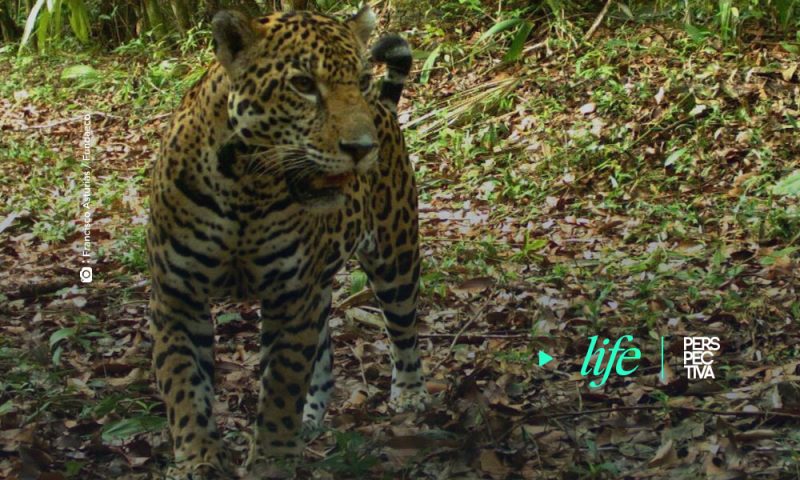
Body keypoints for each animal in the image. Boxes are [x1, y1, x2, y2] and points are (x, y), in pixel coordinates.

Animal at [146, 5, 425, 478]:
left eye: (361, 80)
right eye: (303, 85)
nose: (362, 148)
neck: (246, 189)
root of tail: (384, 109)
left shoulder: (292, 296)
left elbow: (282, 382)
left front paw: (272, 460)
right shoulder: (177, 296)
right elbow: (184, 385)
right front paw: (199, 458)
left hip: (395, 253)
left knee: (402, 328)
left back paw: (409, 395)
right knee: (324, 353)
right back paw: (311, 420)